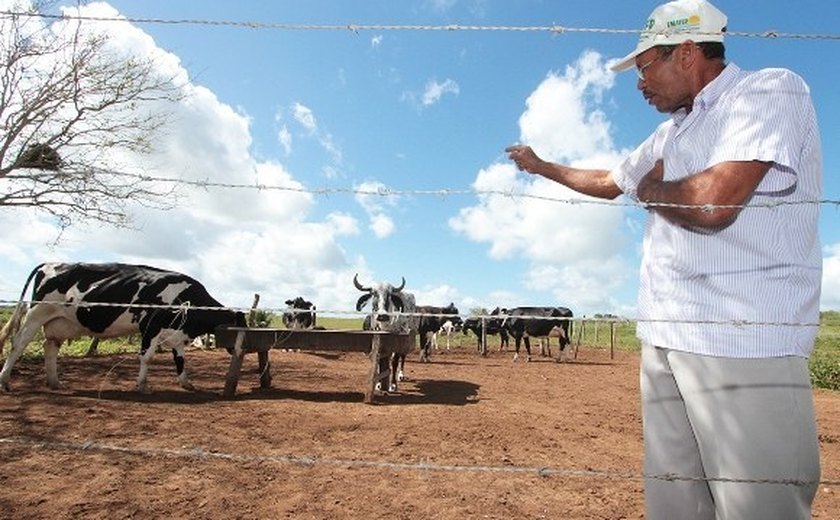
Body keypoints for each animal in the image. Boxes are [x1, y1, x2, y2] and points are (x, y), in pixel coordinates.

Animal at [0, 264, 246, 394]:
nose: (238, 350)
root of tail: (49, 264)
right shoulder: (151, 327)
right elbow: (146, 357)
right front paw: (143, 385)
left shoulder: (176, 333)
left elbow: (180, 360)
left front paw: (187, 383)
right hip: (37, 313)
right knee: (19, 343)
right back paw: (5, 381)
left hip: (59, 322)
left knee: (50, 346)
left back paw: (55, 382)